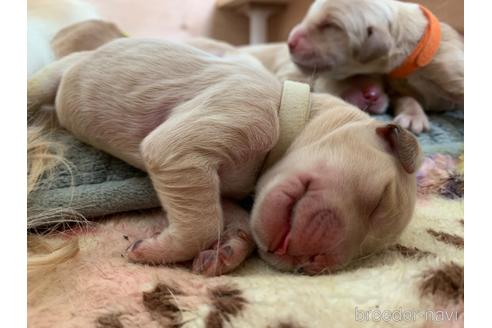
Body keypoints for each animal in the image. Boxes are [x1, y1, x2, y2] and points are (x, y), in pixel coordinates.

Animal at [26, 37, 420, 274]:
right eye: (380, 201)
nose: (310, 263)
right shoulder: (220, 125)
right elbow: (203, 222)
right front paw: (155, 249)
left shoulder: (228, 189)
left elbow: (224, 213)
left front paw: (227, 250)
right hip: (55, 75)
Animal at [286, 0, 464, 133]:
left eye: (330, 25)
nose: (290, 42)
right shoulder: (396, 90)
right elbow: (407, 98)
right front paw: (413, 117)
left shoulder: (450, 69)